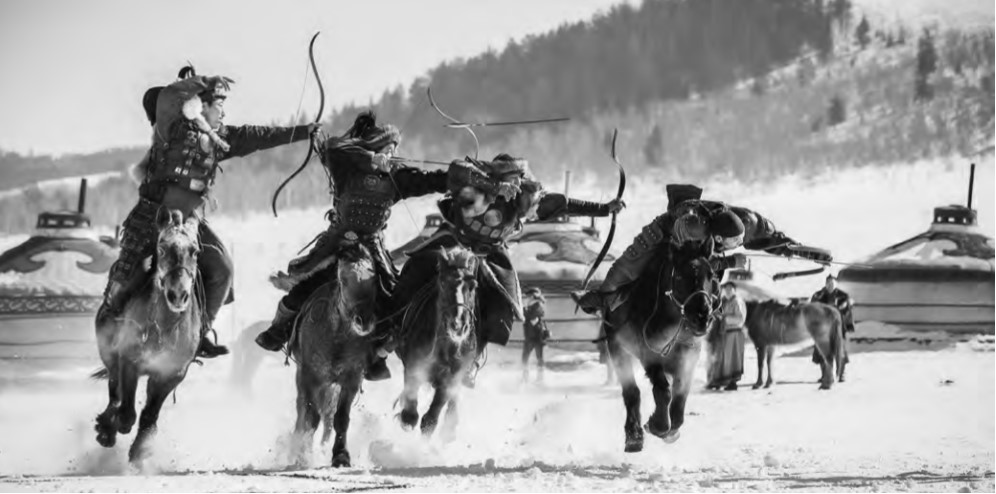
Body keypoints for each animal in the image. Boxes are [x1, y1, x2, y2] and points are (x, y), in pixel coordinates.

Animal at [92, 209, 202, 464]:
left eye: (194, 251)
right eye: (161, 248)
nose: (177, 295)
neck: (164, 328)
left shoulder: (170, 374)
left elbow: (149, 415)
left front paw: (140, 451)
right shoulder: (129, 362)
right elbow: (126, 412)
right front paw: (111, 427)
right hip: (110, 355)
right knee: (114, 392)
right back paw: (106, 428)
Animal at [290, 242, 381, 468]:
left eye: (374, 279)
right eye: (343, 279)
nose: (364, 320)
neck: (336, 338)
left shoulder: (351, 379)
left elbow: (341, 417)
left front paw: (341, 455)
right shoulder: (310, 377)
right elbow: (310, 418)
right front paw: (303, 455)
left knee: (328, 416)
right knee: (302, 411)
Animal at [395, 246, 479, 440]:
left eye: (473, 286)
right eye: (442, 282)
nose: (457, 325)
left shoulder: (451, 378)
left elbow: (431, 419)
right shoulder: (414, 366)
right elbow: (411, 413)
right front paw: (406, 418)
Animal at [601, 245, 719, 452]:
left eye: (710, 274)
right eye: (679, 276)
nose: (702, 317)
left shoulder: (689, 358)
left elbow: (680, 395)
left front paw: (672, 429)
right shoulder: (649, 355)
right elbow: (663, 391)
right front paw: (657, 425)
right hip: (617, 348)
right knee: (632, 392)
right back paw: (634, 437)